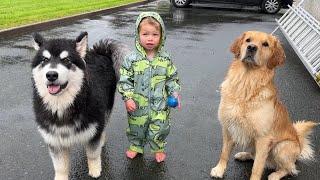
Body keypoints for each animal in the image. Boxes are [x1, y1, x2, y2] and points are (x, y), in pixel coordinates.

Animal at [31, 31, 128, 179]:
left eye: (66, 60)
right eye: (44, 60)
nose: (51, 75)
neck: (63, 105)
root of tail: (100, 52)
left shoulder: (94, 129)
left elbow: (93, 154)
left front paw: (95, 170)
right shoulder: (54, 140)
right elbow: (60, 166)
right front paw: (61, 177)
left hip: (106, 108)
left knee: (104, 125)